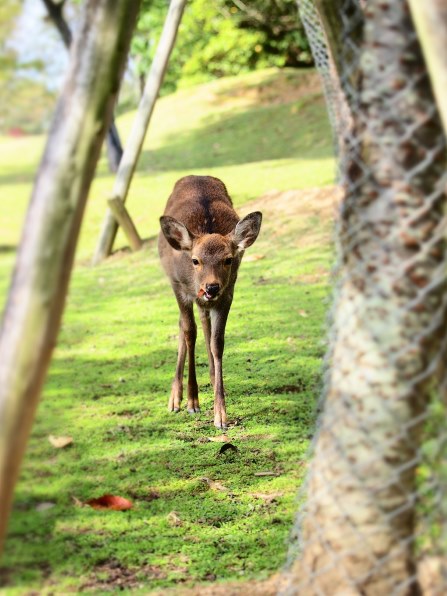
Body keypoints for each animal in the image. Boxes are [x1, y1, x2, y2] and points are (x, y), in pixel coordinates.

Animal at [159, 173, 262, 428]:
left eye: (228, 259)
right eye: (195, 260)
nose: (211, 286)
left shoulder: (227, 294)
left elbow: (218, 343)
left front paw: (220, 415)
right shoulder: (180, 288)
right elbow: (189, 333)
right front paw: (192, 401)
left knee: (203, 322)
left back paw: (212, 378)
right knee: (184, 325)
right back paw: (175, 398)